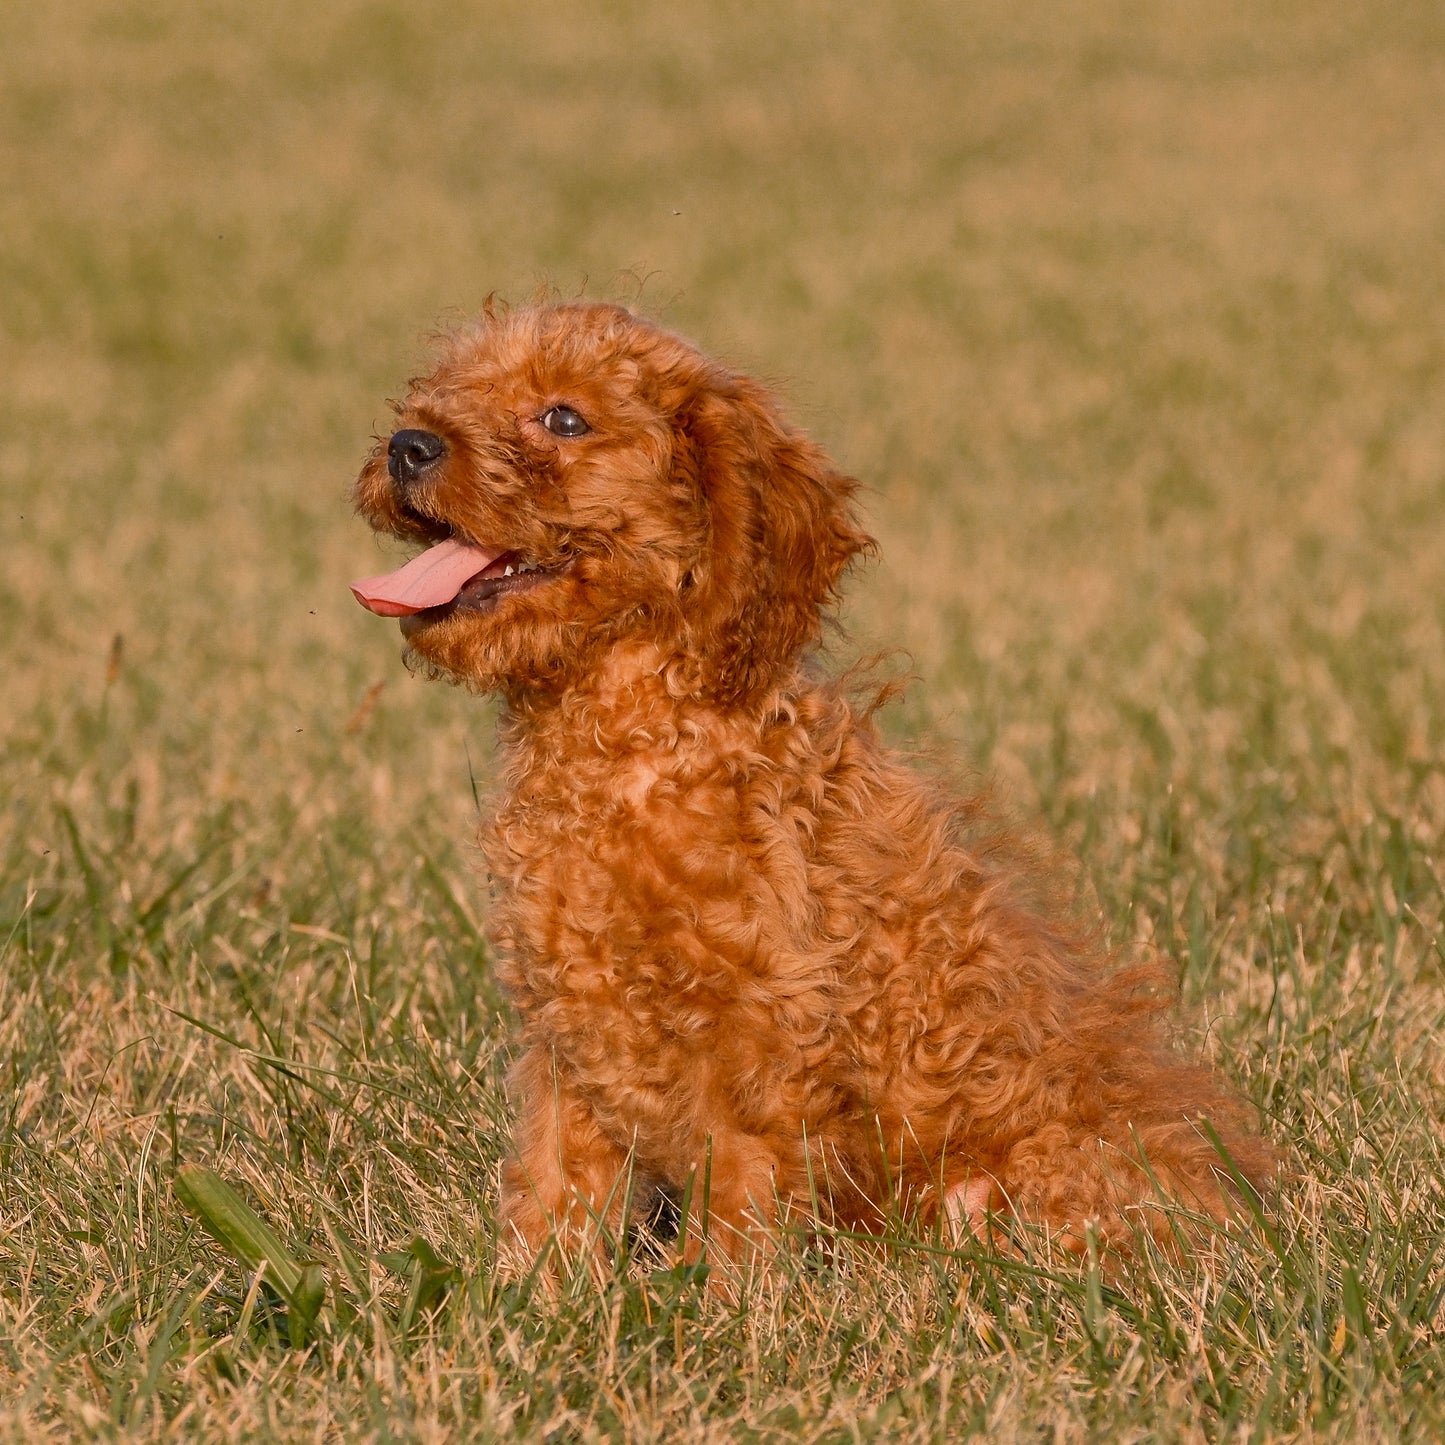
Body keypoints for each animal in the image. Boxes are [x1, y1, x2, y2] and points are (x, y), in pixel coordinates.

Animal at [352, 299, 1277, 1271]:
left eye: (563, 418)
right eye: (444, 388)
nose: (408, 444)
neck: (624, 740)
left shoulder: (761, 1038)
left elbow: (733, 1209)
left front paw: (709, 1304)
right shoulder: (566, 1037)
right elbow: (550, 1194)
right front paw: (527, 1296)